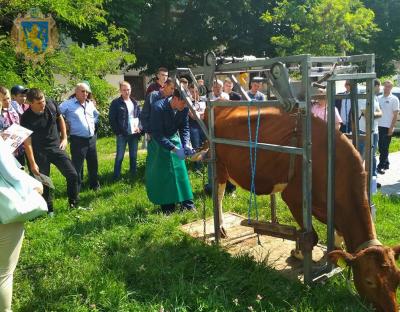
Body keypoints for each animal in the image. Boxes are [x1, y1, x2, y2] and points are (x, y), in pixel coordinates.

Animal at [209, 106, 400, 310]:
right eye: (369, 281)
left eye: (397, 278)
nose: (393, 310)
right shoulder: (293, 197)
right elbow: (311, 236)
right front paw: (299, 254)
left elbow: (337, 237)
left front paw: (331, 257)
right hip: (218, 164)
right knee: (218, 194)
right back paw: (220, 229)